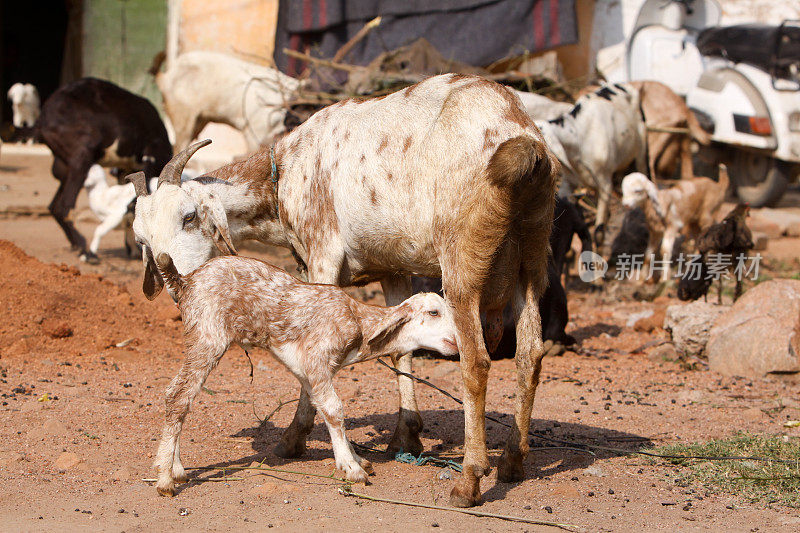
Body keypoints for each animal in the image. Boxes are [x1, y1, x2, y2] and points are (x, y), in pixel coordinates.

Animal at [36, 77, 172, 262]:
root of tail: (43, 120)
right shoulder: (149, 158)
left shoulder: (125, 170)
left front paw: (132, 250)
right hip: (81, 159)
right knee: (64, 207)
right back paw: (86, 252)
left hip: (65, 167)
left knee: (54, 206)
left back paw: (76, 245)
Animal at [131, 72, 560, 504]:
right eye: (141, 239)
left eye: (188, 217)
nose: (178, 282)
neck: (286, 171)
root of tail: (520, 136)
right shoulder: (393, 266)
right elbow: (401, 349)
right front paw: (406, 437)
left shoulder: (322, 251)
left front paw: (295, 438)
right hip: (532, 256)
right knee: (529, 356)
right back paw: (512, 462)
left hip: (463, 260)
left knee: (476, 362)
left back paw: (470, 478)